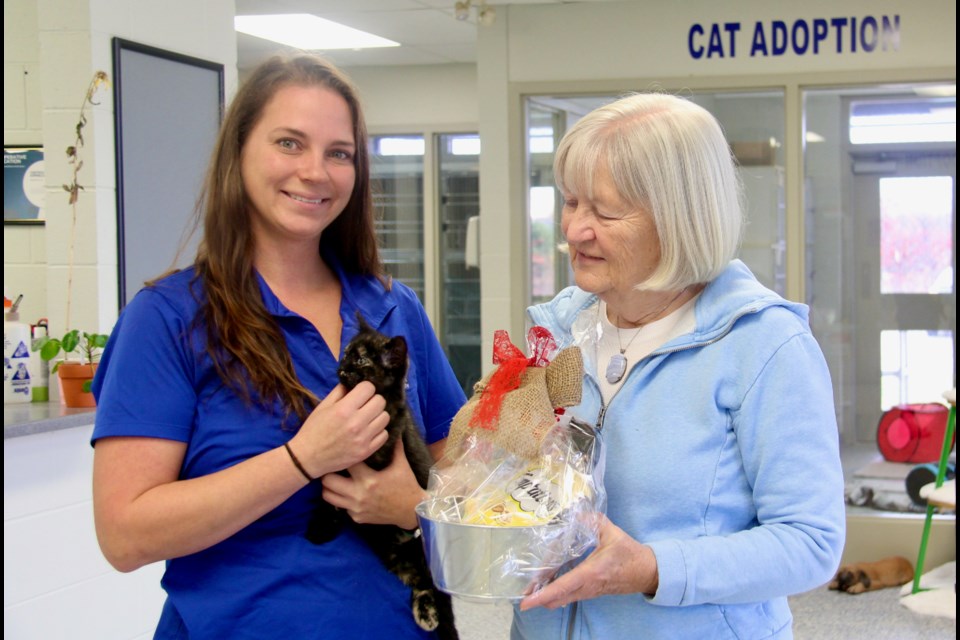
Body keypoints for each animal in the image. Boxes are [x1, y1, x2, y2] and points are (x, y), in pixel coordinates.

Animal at [306, 312, 460, 636]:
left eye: (362, 360)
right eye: (346, 353)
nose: (341, 368)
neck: (382, 402)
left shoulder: (382, 448)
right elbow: (329, 489)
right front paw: (321, 525)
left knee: (432, 584)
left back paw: (430, 615)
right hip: (393, 555)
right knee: (419, 579)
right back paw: (425, 611)